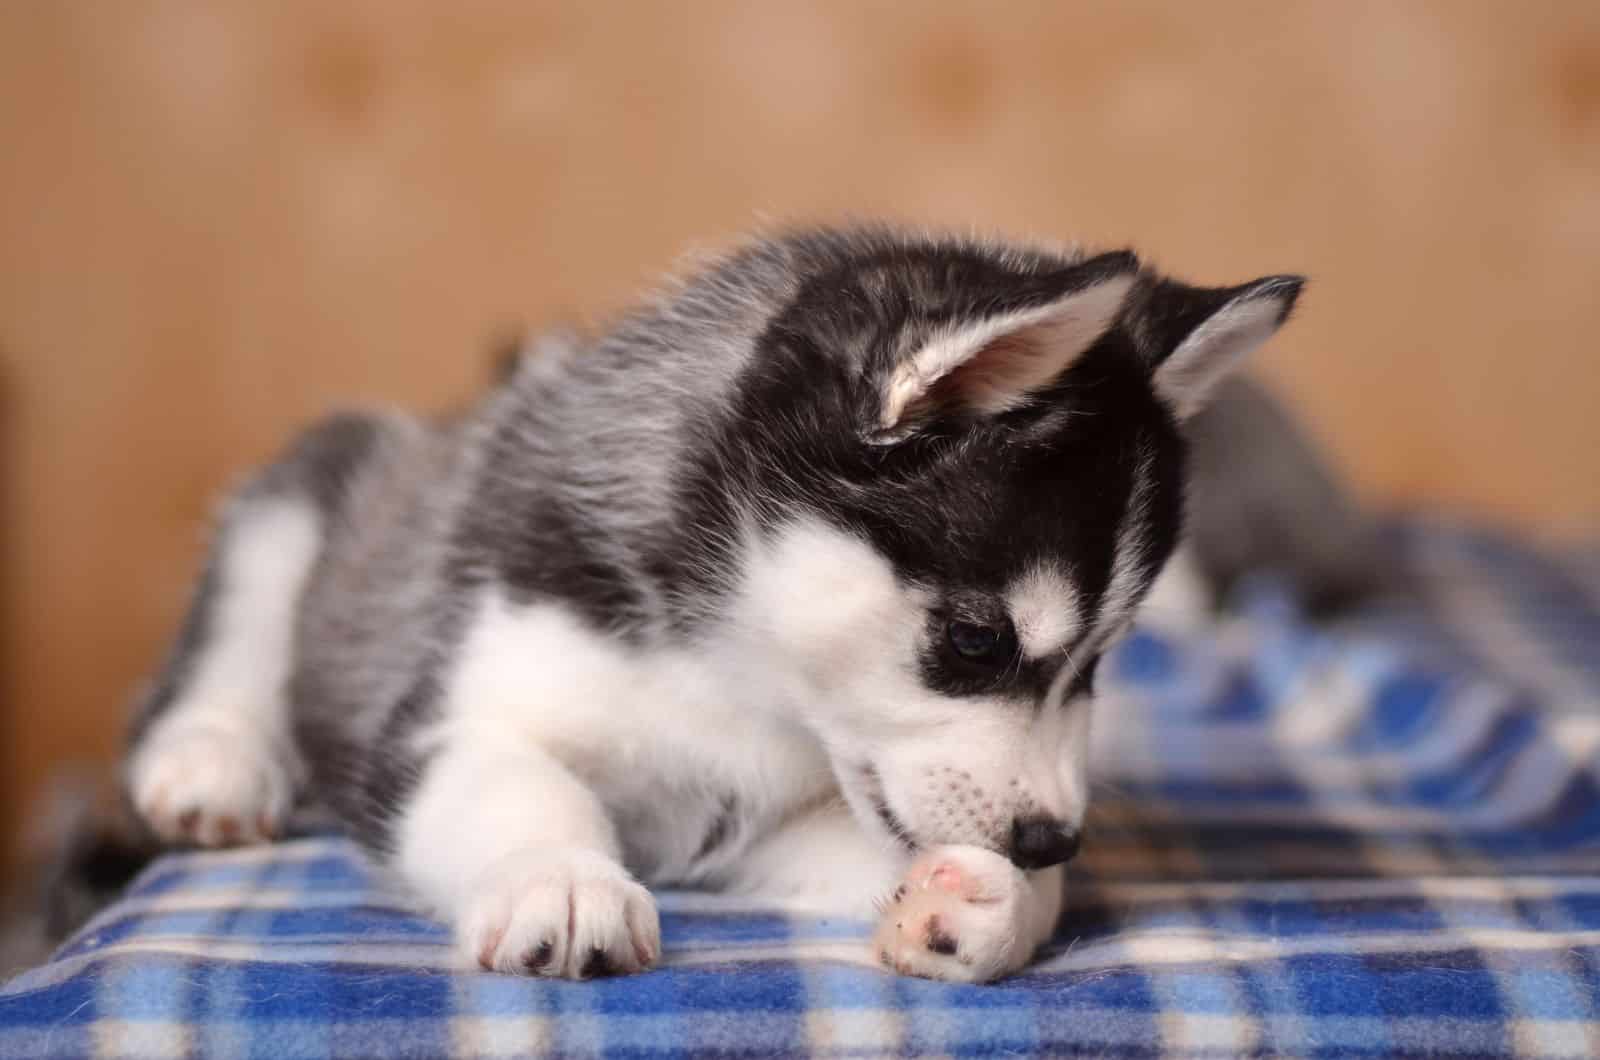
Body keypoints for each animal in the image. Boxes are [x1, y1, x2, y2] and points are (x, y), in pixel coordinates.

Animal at [124, 225, 1299, 986]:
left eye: (1101, 662)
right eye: (975, 640)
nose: (1053, 836)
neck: (733, 674)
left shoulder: (758, 826)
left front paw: (990, 902)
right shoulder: (448, 716)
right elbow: (520, 790)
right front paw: (561, 877)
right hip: (310, 491)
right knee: (242, 621)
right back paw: (213, 761)